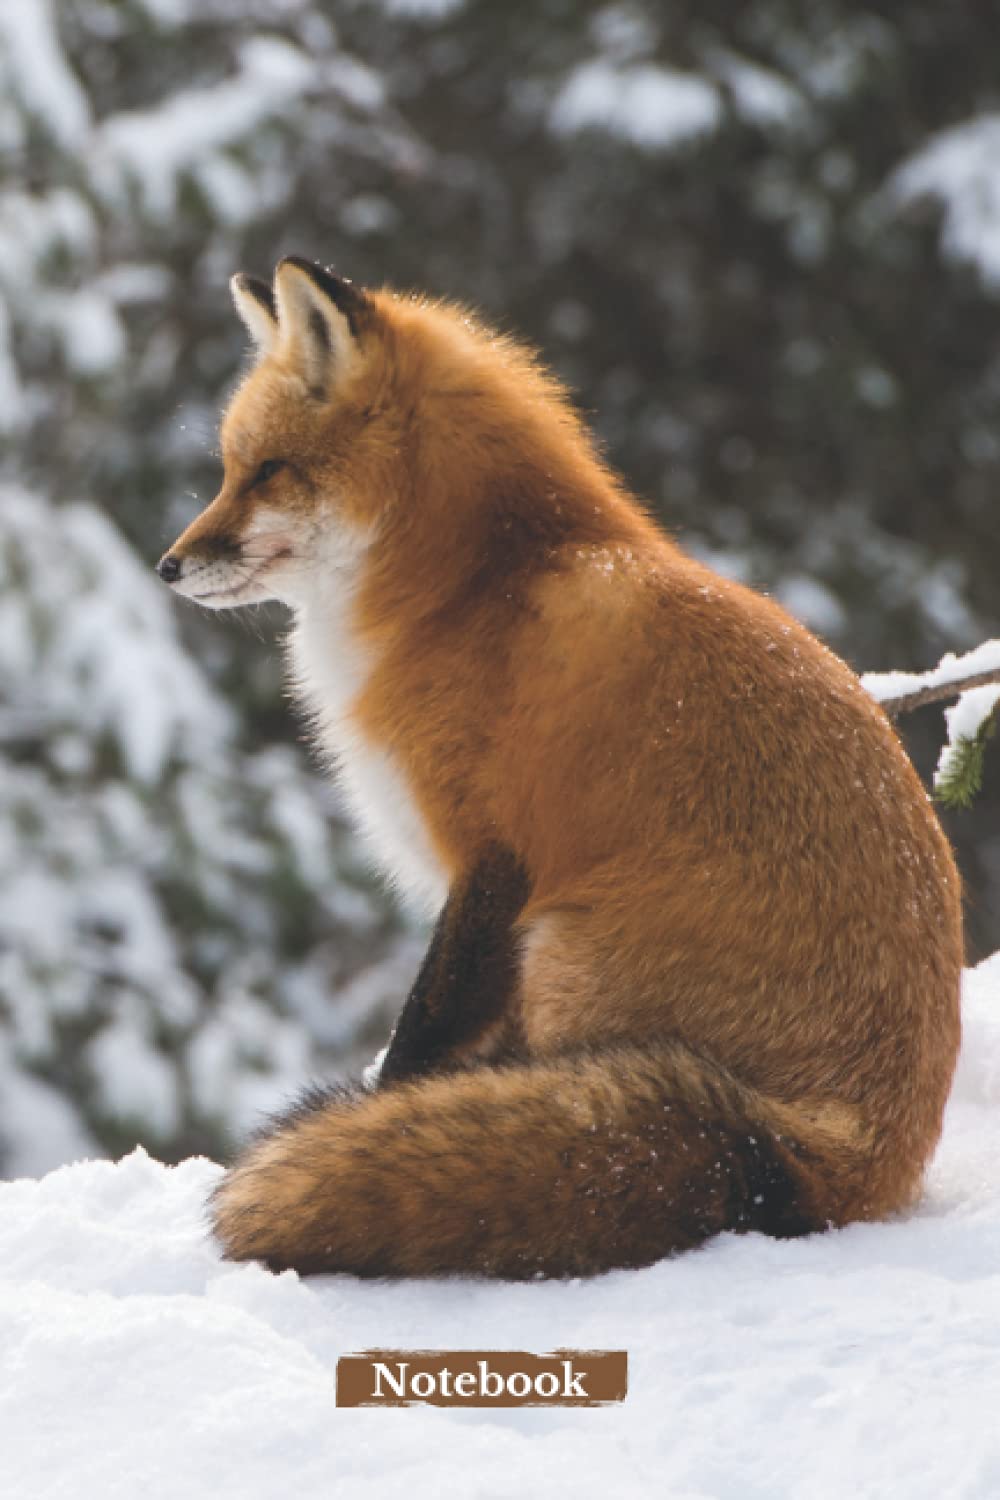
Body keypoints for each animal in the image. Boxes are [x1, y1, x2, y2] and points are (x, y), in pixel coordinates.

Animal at [157, 256, 963, 1279]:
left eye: (267, 471)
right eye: (229, 470)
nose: (168, 565)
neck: (468, 590)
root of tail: (847, 1157)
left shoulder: (494, 860)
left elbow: (420, 1035)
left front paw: (378, 1117)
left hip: (560, 951)